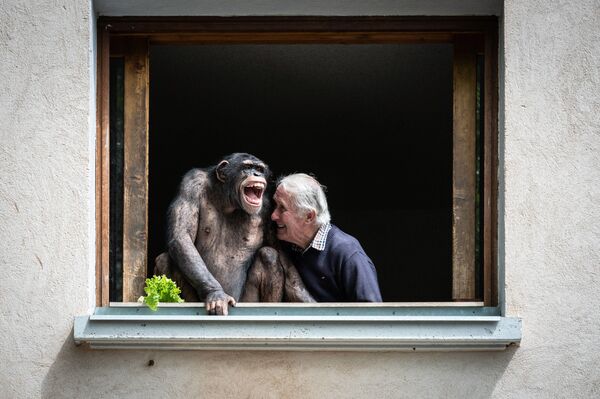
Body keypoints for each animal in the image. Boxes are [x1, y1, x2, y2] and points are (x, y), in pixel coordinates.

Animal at [154, 153, 314, 316]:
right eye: (247, 167)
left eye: (259, 169)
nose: (256, 174)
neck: (228, 201)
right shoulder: (191, 184)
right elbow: (182, 236)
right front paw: (217, 294)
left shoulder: (269, 209)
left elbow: (282, 258)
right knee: (164, 259)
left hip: (247, 301)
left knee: (269, 255)